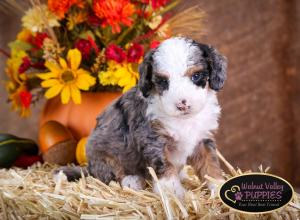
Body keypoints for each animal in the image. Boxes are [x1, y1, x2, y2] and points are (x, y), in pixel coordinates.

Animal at [57, 37, 227, 199]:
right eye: (163, 81)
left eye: (196, 76)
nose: (182, 105)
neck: (184, 120)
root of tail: (89, 167)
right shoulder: (154, 140)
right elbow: (165, 166)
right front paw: (172, 192)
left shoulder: (203, 140)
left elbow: (210, 165)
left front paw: (217, 186)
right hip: (102, 154)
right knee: (110, 175)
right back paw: (132, 181)